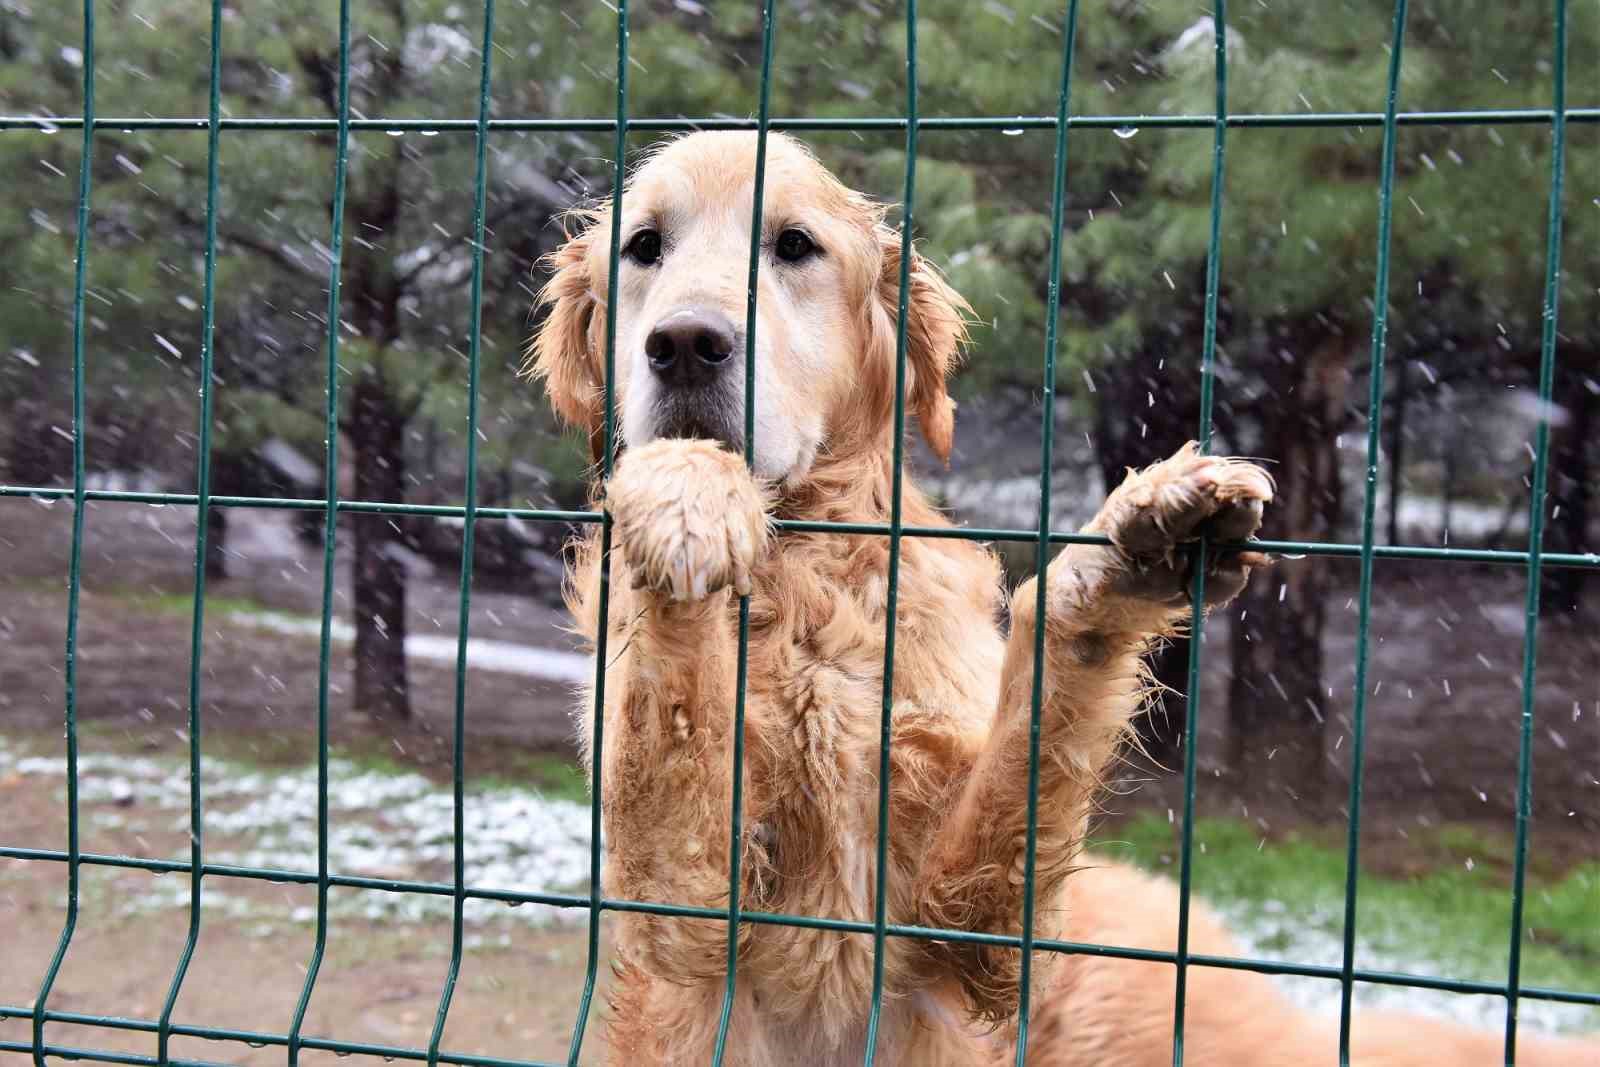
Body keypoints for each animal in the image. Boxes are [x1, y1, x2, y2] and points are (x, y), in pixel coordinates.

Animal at [528, 133, 1600, 1067]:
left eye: (793, 245)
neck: (802, 583)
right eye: (643, 247)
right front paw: (685, 487)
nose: (685, 344)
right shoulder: (680, 908)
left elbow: (1043, 699)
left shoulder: (969, 924)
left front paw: (1125, 558)